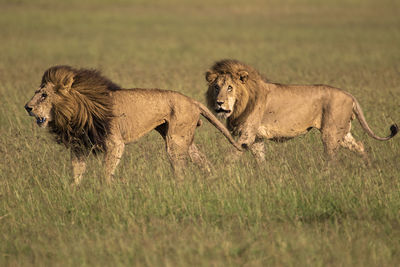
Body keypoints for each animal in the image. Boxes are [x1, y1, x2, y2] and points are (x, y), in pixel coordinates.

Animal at [25, 65, 244, 186]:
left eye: (43, 95)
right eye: (37, 92)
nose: (27, 107)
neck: (76, 110)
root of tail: (192, 100)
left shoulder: (115, 143)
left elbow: (106, 171)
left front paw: (106, 191)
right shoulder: (79, 145)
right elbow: (77, 172)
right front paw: (74, 191)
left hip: (175, 140)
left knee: (180, 167)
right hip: (182, 138)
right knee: (202, 160)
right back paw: (211, 181)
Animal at [205, 59, 398, 163]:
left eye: (230, 88)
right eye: (216, 87)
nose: (219, 103)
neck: (241, 103)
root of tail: (349, 95)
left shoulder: (247, 134)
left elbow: (231, 155)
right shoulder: (257, 137)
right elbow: (260, 159)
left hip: (330, 133)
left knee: (332, 158)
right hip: (343, 133)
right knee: (360, 145)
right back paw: (368, 166)